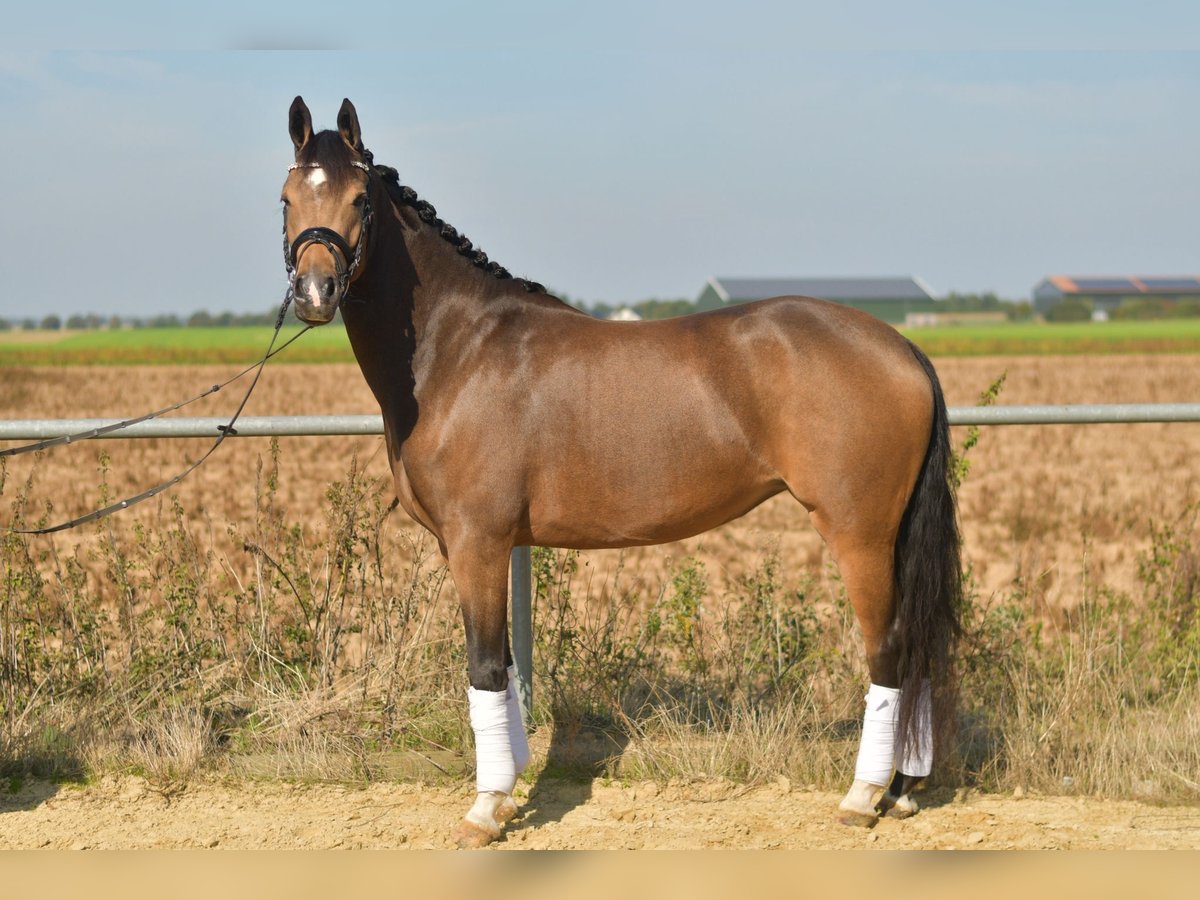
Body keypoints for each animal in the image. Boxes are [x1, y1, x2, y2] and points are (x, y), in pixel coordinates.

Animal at [280, 96, 962, 848]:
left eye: (360, 200)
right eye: (286, 197)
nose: (315, 291)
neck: (459, 350)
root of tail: (901, 346)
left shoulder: (476, 543)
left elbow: (485, 668)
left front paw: (487, 808)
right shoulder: (485, 547)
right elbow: (507, 668)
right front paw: (511, 789)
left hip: (859, 534)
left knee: (890, 649)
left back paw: (864, 796)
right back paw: (902, 789)